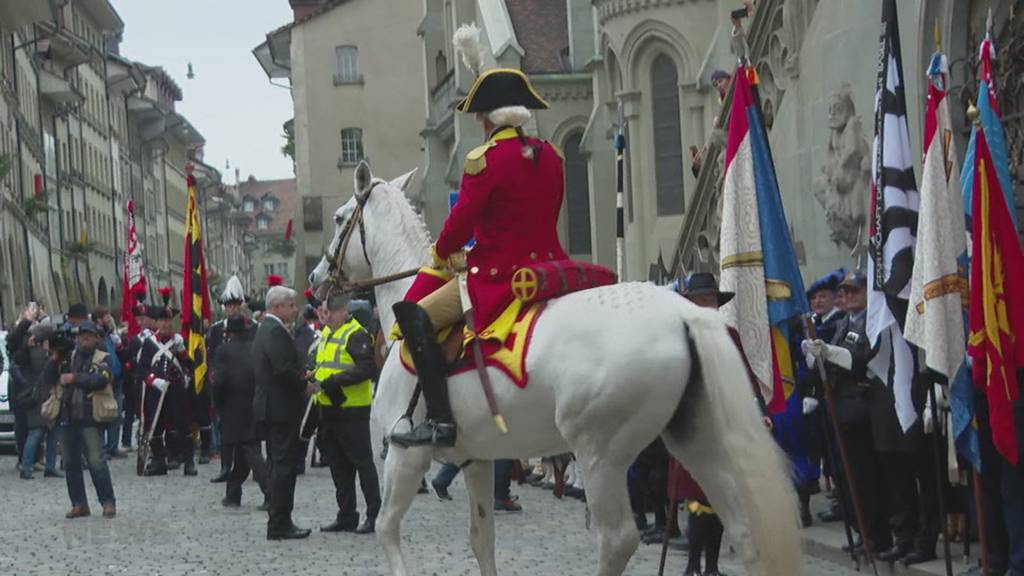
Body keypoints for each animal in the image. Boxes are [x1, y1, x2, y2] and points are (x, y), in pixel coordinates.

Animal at [307, 161, 802, 573]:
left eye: (339, 218)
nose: (315, 280)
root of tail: (685, 314)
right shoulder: (476, 459)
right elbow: (481, 539)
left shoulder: (405, 454)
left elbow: (386, 528)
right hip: (697, 440)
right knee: (744, 531)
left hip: (601, 453)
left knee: (617, 539)